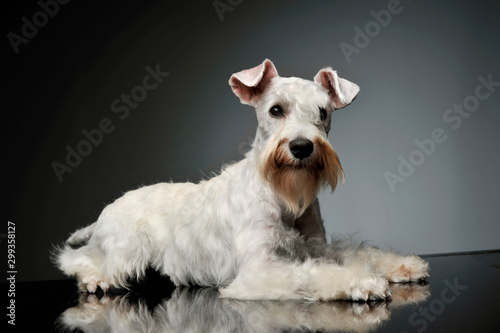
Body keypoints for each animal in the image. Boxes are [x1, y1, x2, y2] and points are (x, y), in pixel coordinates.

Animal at [55, 59, 430, 300]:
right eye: (276, 110)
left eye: (323, 112)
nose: (301, 147)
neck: (282, 197)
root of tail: (105, 212)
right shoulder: (261, 268)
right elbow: (311, 274)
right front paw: (363, 282)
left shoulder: (317, 247)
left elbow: (356, 252)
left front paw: (402, 265)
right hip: (126, 250)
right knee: (78, 259)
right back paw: (93, 278)